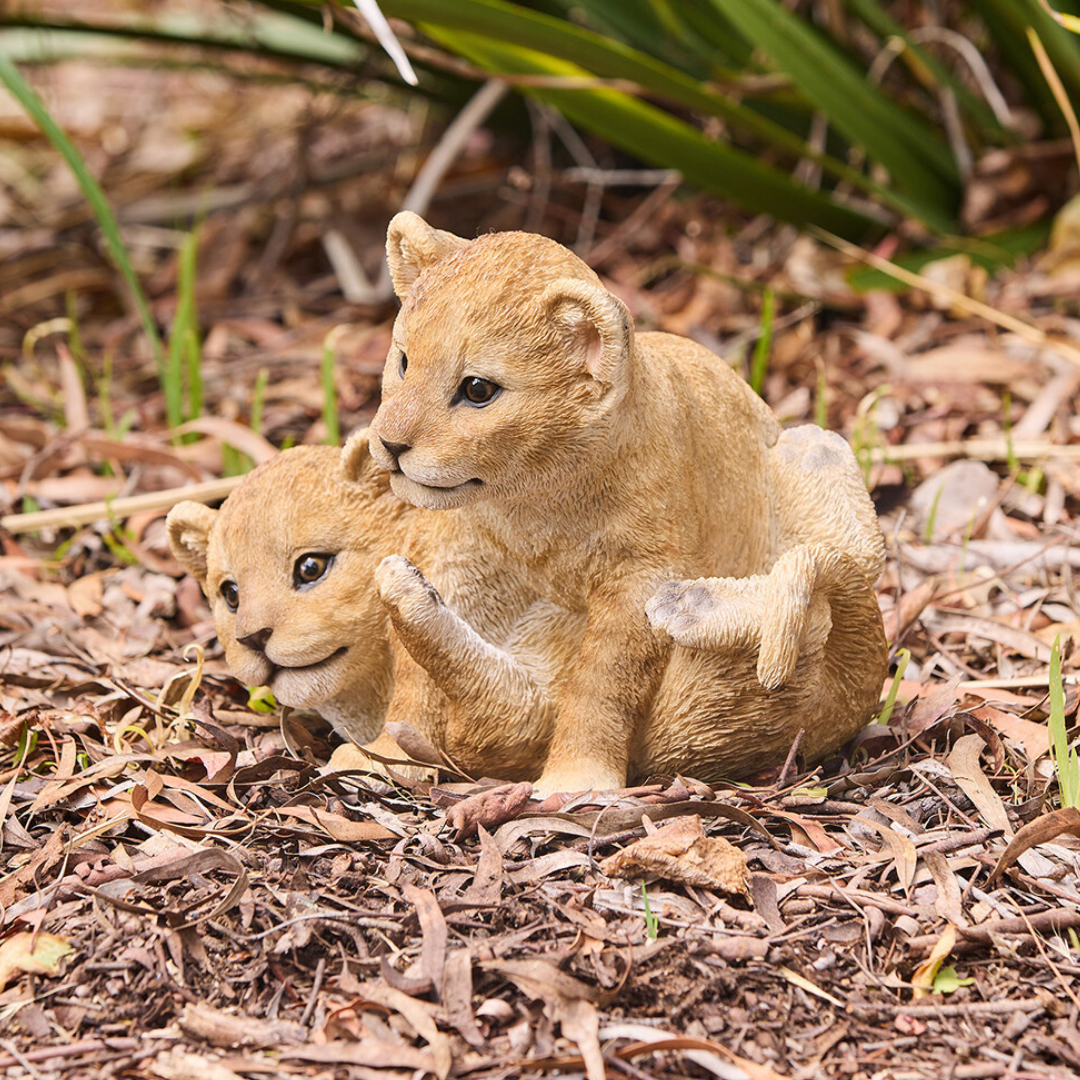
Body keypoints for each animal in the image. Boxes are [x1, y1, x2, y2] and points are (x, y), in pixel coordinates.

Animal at [367, 212, 887, 795]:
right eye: (403, 361)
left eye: (478, 390)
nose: (389, 444)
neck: (533, 506)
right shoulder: (462, 552)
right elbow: (413, 680)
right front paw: (380, 757)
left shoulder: (640, 575)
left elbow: (601, 684)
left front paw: (576, 782)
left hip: (817, 450)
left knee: (834, 579)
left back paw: (687, 606)